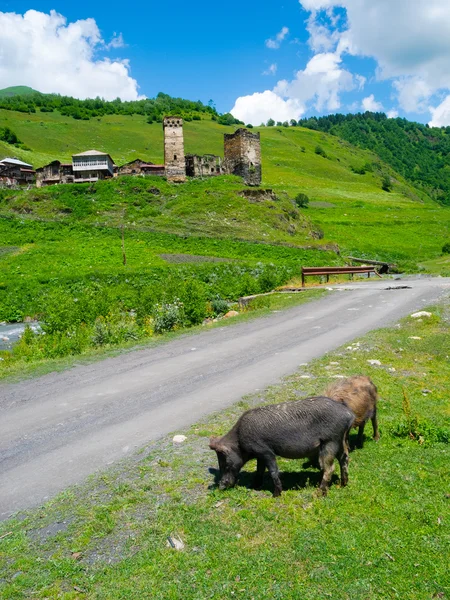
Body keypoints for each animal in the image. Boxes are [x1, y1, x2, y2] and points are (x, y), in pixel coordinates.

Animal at [209, 398, 354, 496]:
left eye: (225, 463)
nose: (220, 486)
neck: (239, 440)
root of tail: (349, 414)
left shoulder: (266, 451)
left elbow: (273, 471)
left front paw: (276, 495)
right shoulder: (259, 455)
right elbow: (259, 470)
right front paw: (254, 485)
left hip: (330, 441)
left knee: (329, 468)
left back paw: (319, 494)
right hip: (341, 440)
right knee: (345, 459)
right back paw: (343, 484)